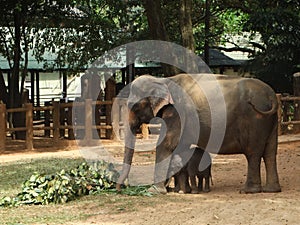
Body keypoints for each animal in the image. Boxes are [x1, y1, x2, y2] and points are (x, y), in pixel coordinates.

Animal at [115, 73, 282, 193]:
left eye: (134, 106)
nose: (121, 188)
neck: (162, 80)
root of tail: (272, 95)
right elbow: (179, 146)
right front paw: (178, 190)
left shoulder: (176, 112)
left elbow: (167, 144)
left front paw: (154, 190)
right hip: (270, 121)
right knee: (270, 152)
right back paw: (271, 190)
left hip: (255, 119)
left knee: (253, 153)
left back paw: (248, 191)